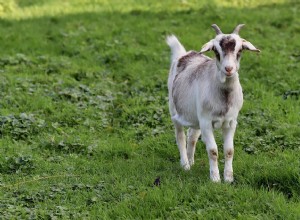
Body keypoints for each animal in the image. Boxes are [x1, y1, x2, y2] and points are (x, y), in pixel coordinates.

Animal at [166, 23, 260, 182]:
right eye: (216, 50)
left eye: (240, 49)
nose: (229, 69)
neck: (224, 97)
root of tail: (184, 54)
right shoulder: (206, 122)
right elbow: (213, 151)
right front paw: (215, 179)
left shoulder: (231, 122)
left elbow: (229, 151)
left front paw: (228, 178)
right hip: (174, 110)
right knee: (180, 136)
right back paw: (185, 165)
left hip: (195, 117)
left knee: (192, 136)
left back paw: (191, 161)